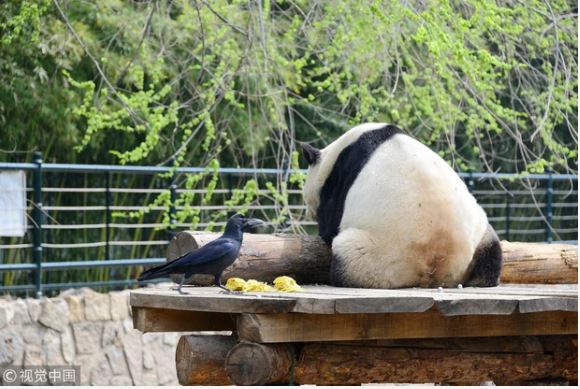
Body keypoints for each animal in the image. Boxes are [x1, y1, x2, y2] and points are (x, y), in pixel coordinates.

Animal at [304, 123, 502, 286]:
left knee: (346, 258)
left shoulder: (341, 176)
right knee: (492, 254)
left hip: (380, 256)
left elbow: (330, 221)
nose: (308, 213)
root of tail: (437, 265)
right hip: (479, 236)